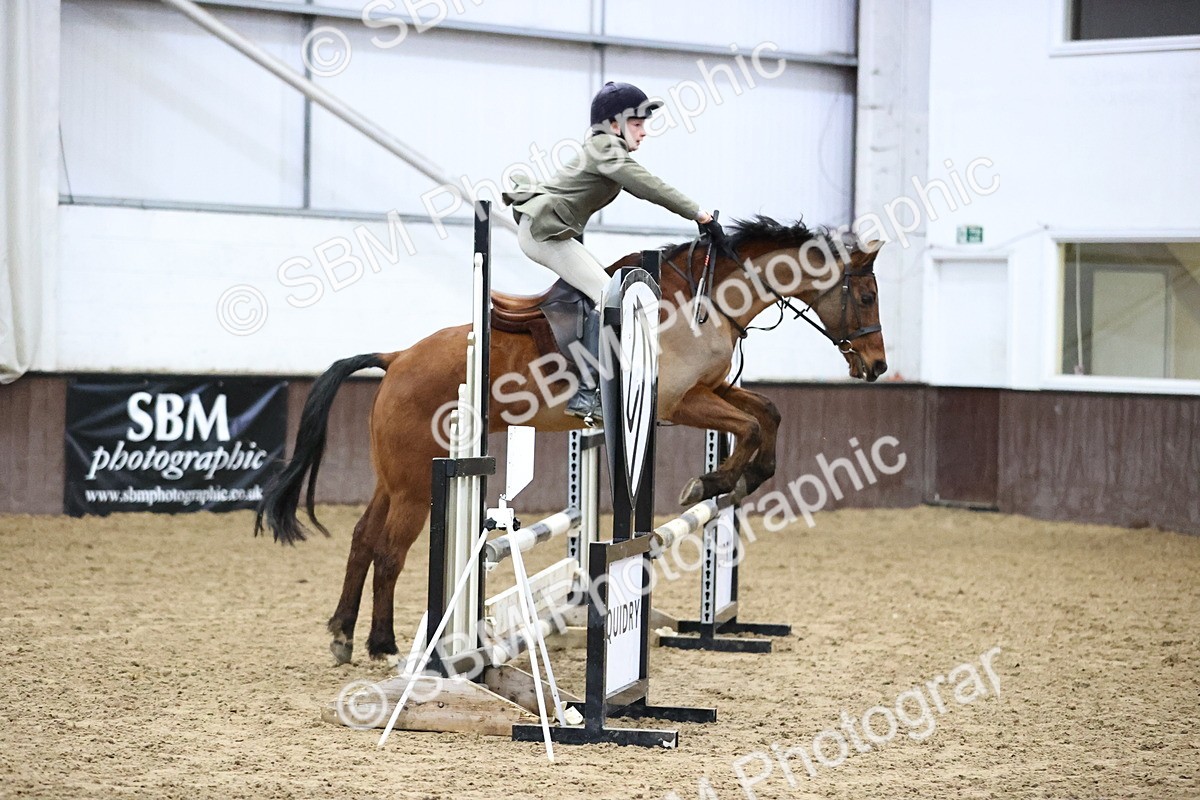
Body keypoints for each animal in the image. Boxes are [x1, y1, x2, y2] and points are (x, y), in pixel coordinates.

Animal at [256, 216, 887, 664]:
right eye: (865, 296)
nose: (877, 367)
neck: (704, 303)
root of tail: (396, 357)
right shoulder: (678, 403)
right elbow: (752, 426)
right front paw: (713, 481)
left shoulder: (709, 390)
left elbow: (769, 414)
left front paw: (738, 477)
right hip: (417, 482)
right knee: (390, 551)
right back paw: (384, 644)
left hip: (395, 476)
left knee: (363, 539)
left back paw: (344, 634)